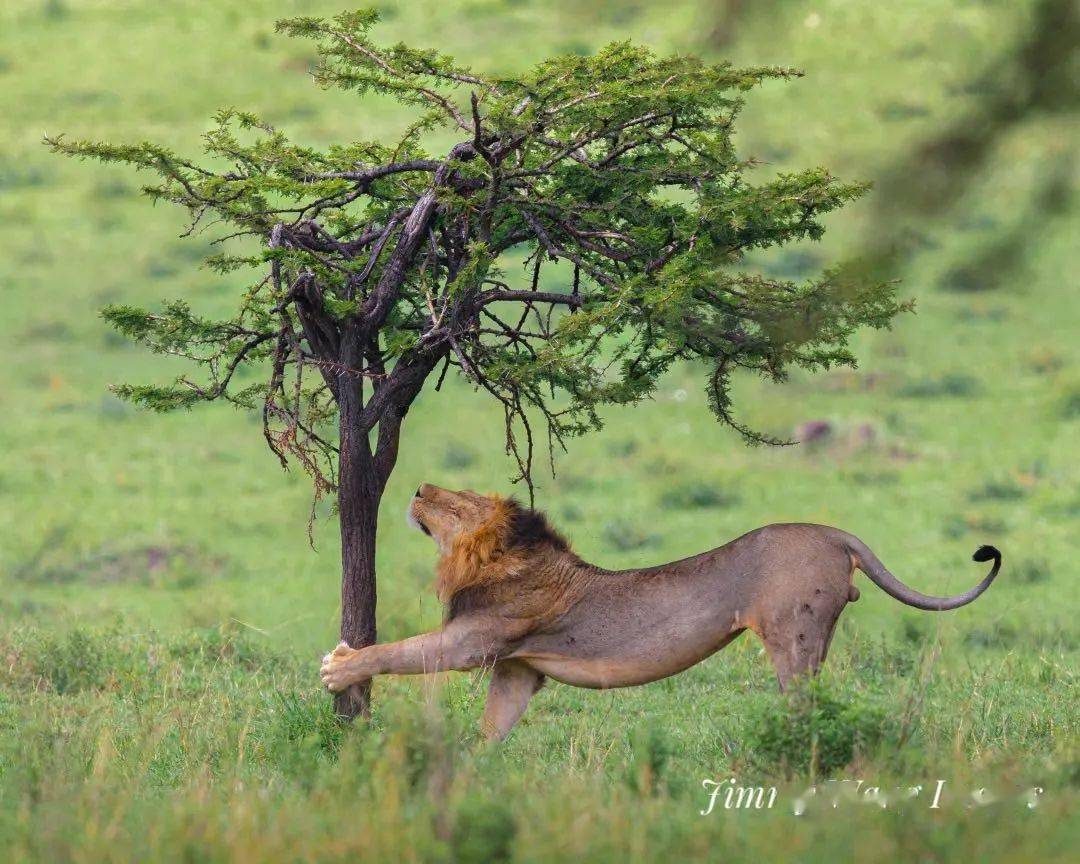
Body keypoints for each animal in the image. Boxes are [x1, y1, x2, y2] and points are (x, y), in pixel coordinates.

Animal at [319, 481, 1002, 738]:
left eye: (457, 503)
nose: (417, 488)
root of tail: (836, 534)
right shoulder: (518, 667)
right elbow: (494, 725)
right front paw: (470, 771)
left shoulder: (479, 639)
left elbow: (402, 652)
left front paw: (339, 665)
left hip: (793, 632)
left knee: (802, 698)